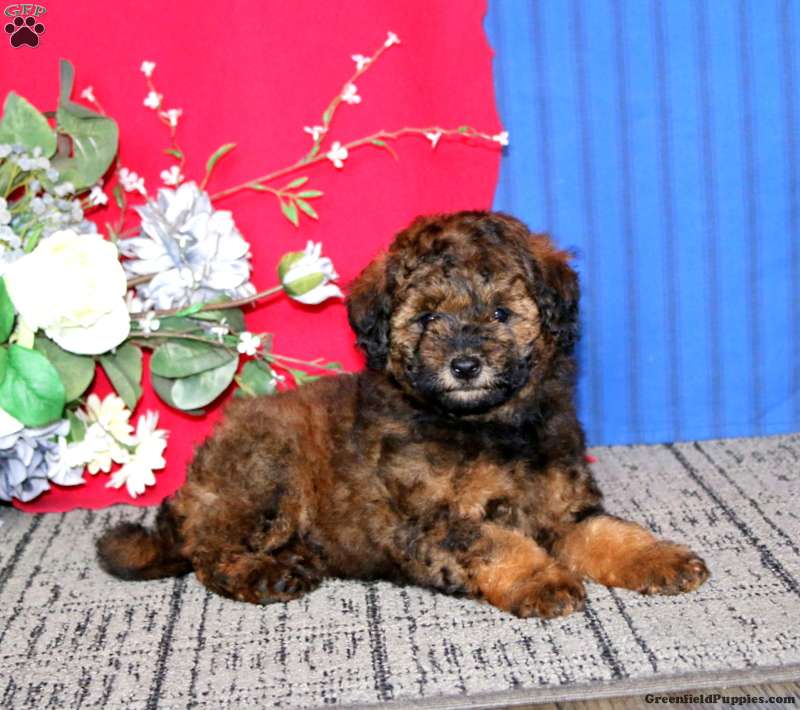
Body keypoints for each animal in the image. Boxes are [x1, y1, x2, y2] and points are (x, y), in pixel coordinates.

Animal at [97, 211, 709, 618]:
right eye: (428, 317)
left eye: (500, 313)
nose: (465, 365)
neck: (488, 426)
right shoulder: (434, 520)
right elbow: (497, 541)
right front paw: (541, 580)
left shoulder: (562, 507)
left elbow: (607, 532)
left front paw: (660, 558)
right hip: (265, 475)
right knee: (211, 552)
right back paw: (266, 573)